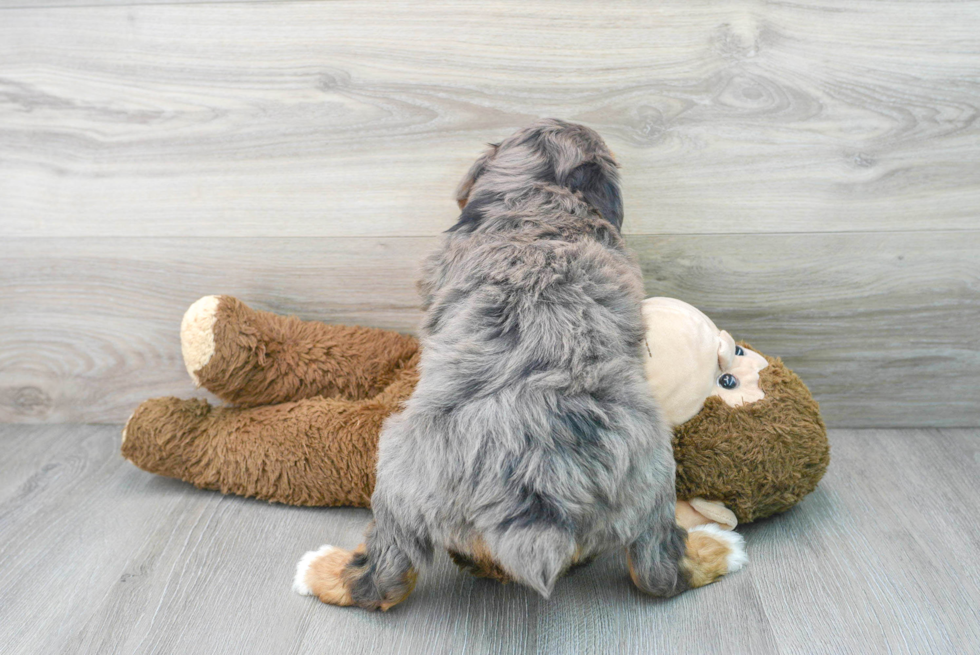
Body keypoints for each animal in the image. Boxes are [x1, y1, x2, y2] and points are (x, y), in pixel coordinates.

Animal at [290, 119, 744, 608]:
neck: (542, 196)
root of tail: (536, 490)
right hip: (653, 481)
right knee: (655, 572)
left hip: (396, 474)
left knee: (385, 576)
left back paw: (323, 570)